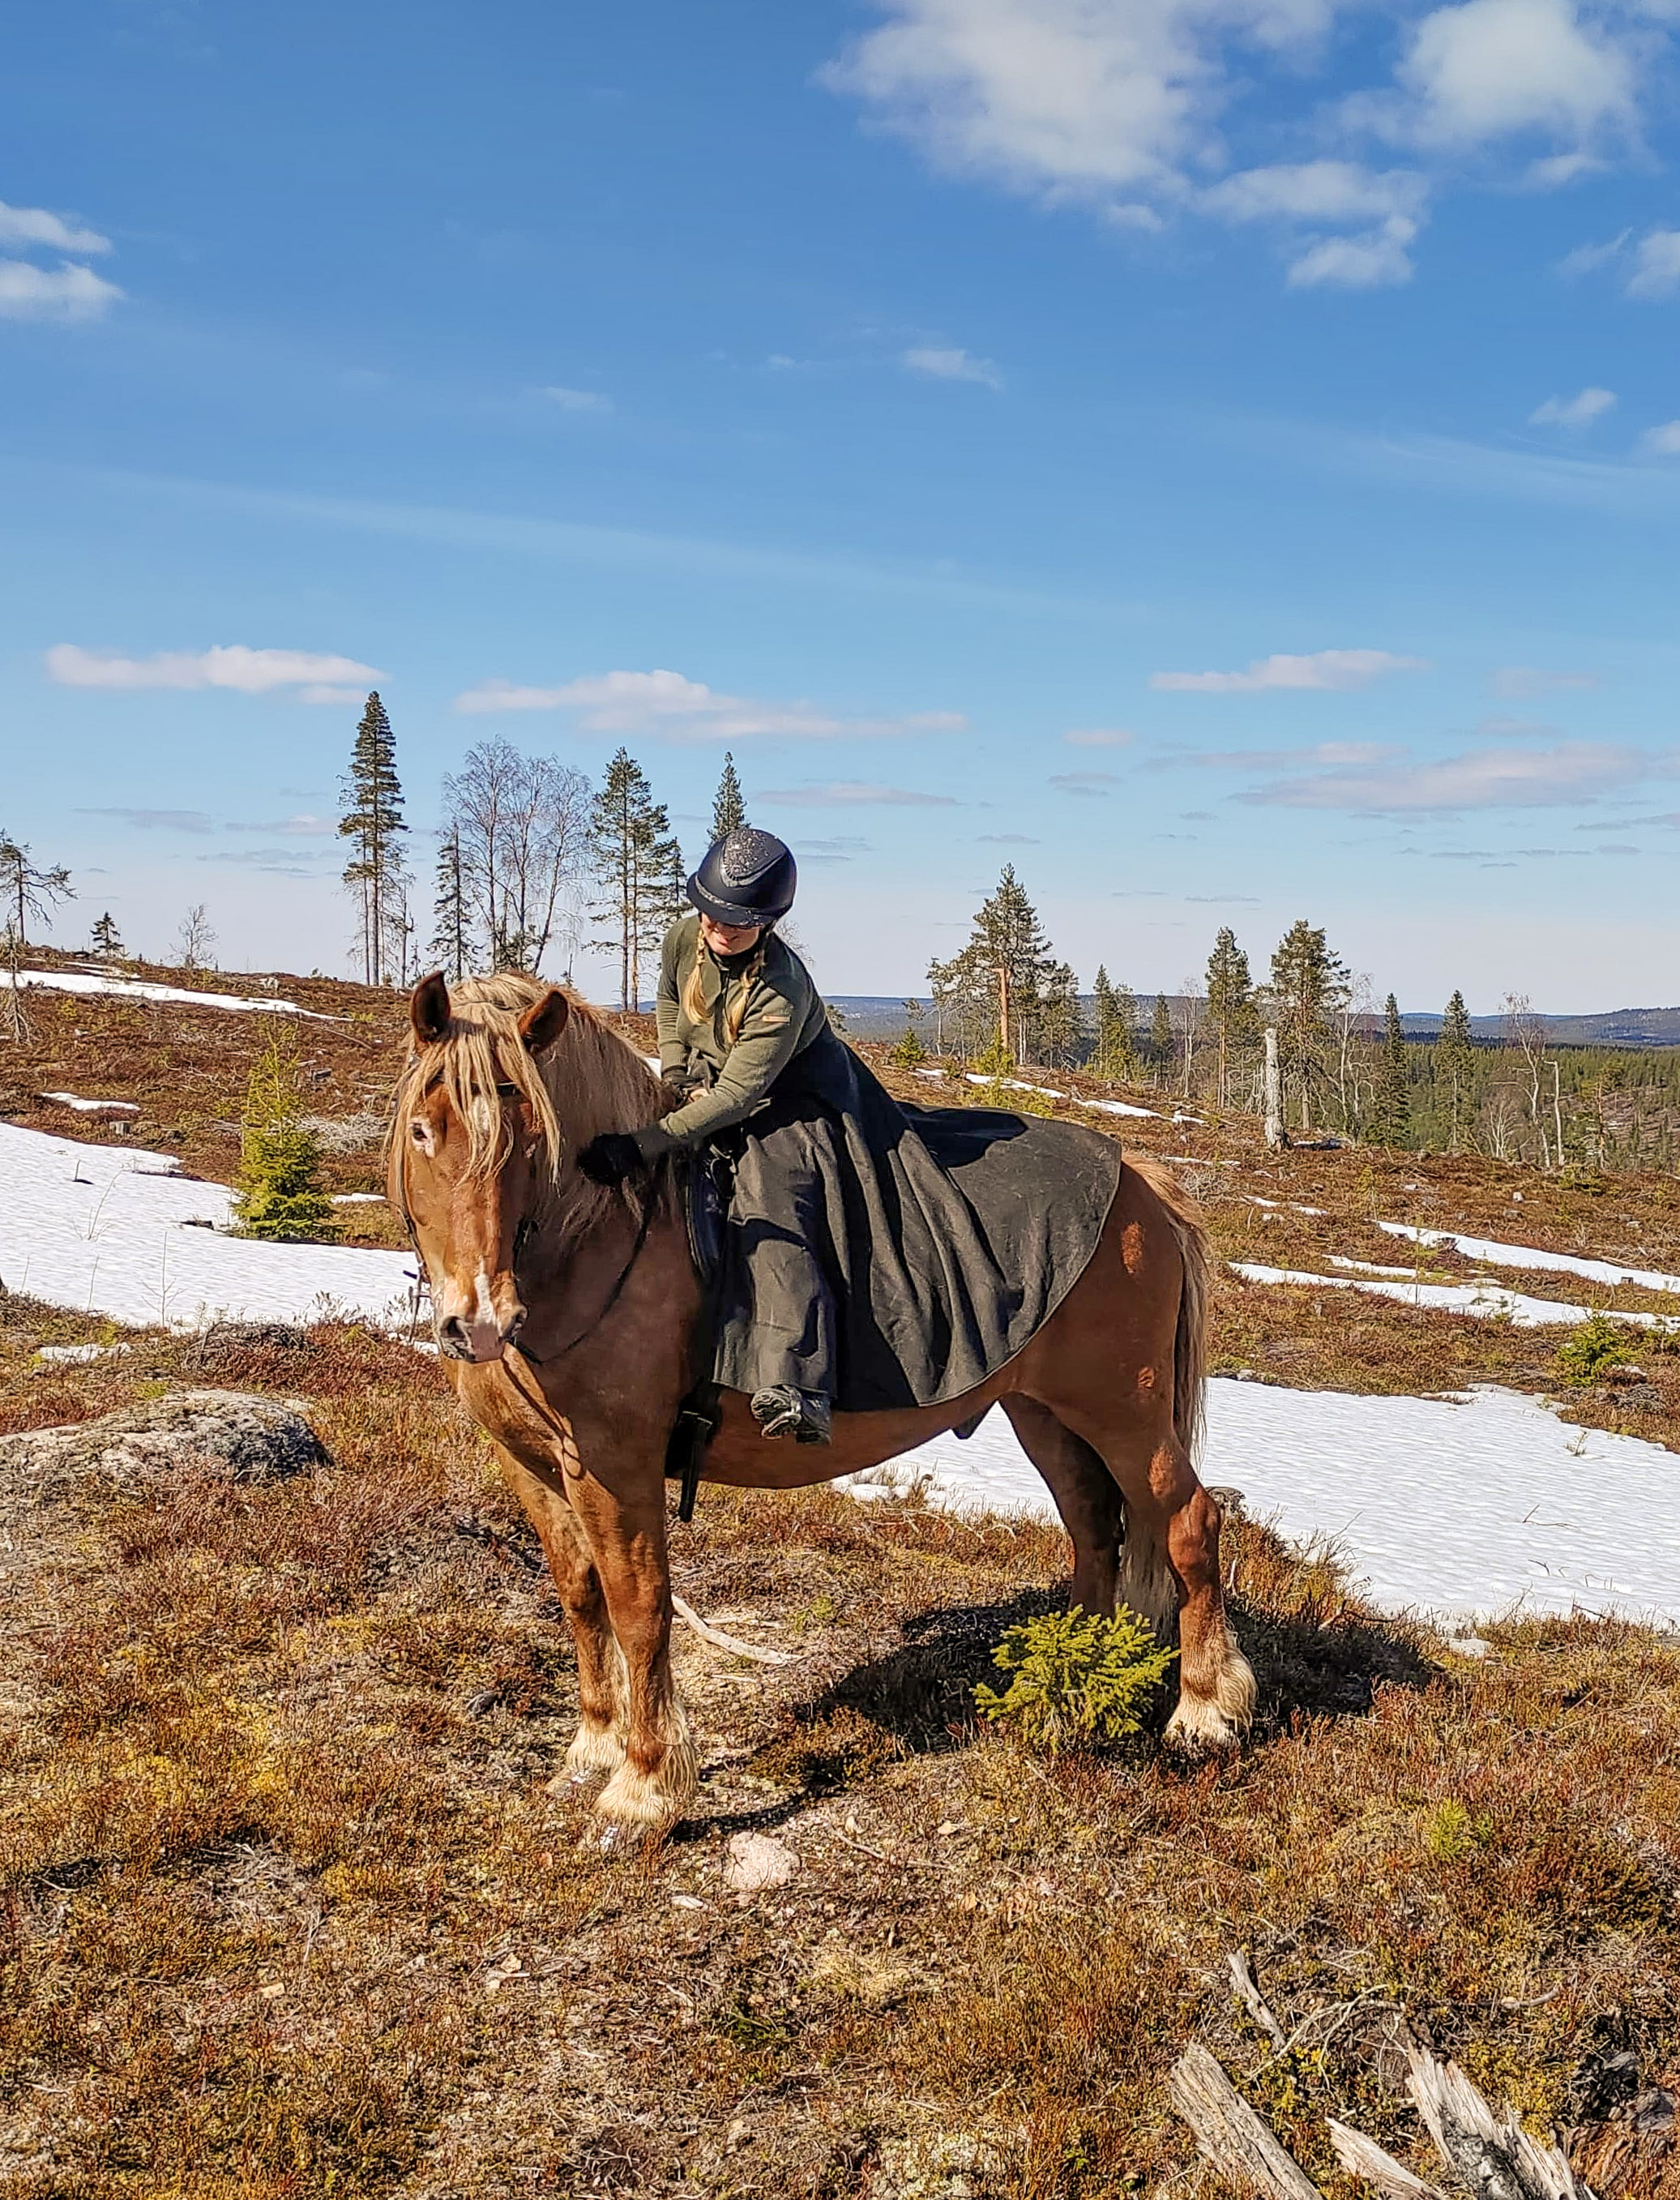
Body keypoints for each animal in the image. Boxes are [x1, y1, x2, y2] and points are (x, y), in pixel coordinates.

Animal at [389, 969, 1256, 1836]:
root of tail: (1138, 1177)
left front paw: (643, 1787)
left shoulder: (615, 1463)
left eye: (533, 1140)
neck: (599, 1242)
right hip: (1045, 1413)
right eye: (425, 1131)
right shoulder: (531, 1464)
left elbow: (639, 1606)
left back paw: (1205, 1711)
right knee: (1094, 1532)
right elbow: (579, 1595)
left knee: (1187, 1521)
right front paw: (591, 1749)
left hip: (1123, 1408)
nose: (479, 1322)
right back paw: (1064, 1690)